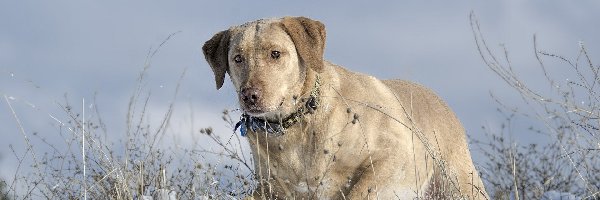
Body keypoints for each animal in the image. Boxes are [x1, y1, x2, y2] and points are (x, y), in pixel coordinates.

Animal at [202, 16, 488, 199]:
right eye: (238, 58)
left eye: (275, 54)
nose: (250, 96)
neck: (297, 125)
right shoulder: (272, 187)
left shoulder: (396, 155)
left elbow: (361, 191)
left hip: (459, 185)